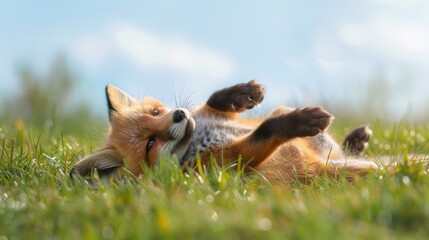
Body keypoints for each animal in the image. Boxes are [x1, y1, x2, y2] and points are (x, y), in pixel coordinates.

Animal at [71, 80, 378, 184]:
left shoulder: (208, 116)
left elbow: (214, 101)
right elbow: (265, 131)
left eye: (155, 113)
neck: (197, 137)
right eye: (150, 144)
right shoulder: (232, 160)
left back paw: (357, 140)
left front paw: (243, 93)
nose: (179, 115)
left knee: (340, 150)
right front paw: (299, 122)